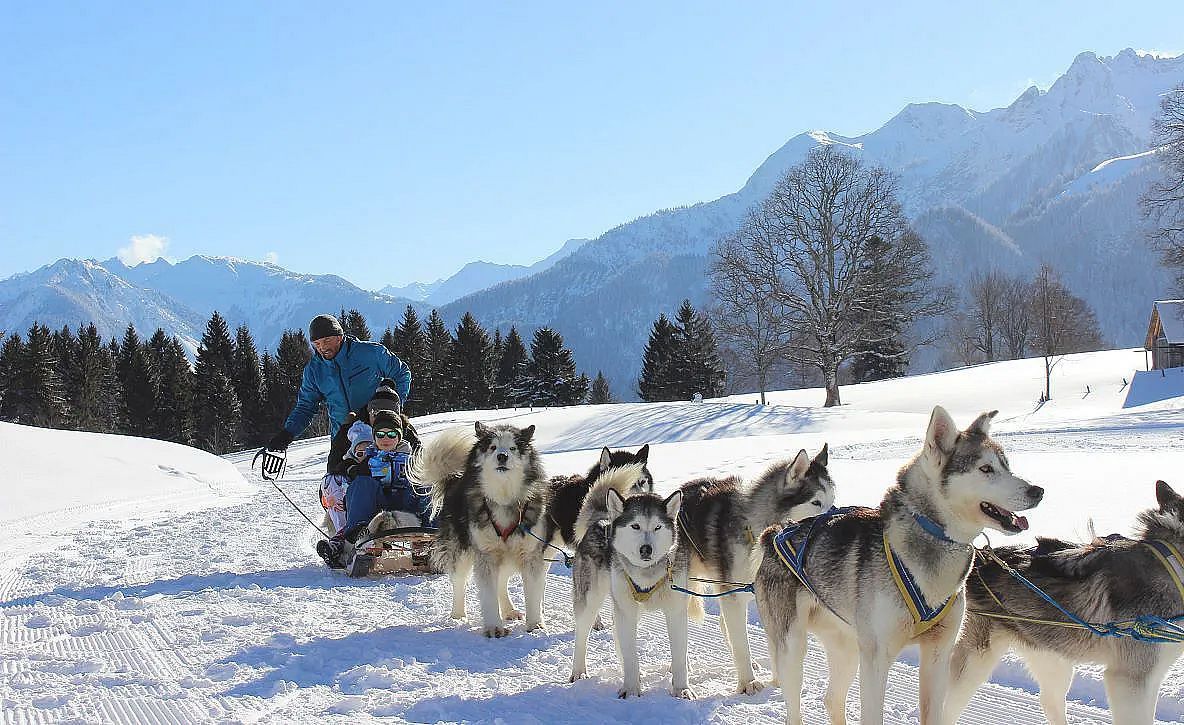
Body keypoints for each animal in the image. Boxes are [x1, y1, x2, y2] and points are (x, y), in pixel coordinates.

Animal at [412, 421, 549, 634]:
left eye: (513, 448)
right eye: (492, 447)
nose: (502, 456)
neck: (503, 498)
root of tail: (455, 480)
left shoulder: (530, 555)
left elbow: (533, 594)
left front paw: (535, 625)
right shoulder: (486, 555)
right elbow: (488, 595)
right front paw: (494, 627)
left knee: (501, 582)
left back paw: (509, 610)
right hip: (461, 552)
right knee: (459, 583)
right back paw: (458, 615)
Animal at [570, 483, 691, 701]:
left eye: (657, 527)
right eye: (635, 526)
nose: (646, 549)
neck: (646, 574)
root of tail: (602, 520)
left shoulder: (675, 612)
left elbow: (679, 655)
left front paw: (681, 690)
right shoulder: (626, 611)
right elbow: (630, 654)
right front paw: (631, 689)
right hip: (590, 601)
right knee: (582, 634)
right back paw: (579, 671)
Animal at [677, 445, 833, 691]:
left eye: (832, 499)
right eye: (816, 503)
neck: (756, 529)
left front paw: (778, 679)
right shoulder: (733, 596)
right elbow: (742, 644)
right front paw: (748, 682)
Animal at [753, 407, 1041, 725]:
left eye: (1006, 465)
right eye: (986, 469)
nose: (1038, 491)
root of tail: (776, 533)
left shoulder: (938, 656)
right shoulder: (876, 660)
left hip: (848, 648)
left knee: (832, 698)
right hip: (794, 648)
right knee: (794, 704)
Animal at [942, 478, 1184, 720]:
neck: (1172, 564)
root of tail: (979, 558)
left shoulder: (1150, 676)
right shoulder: (1130, 679)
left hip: (1053, 655)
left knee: (1050, 701)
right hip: (977, 660)